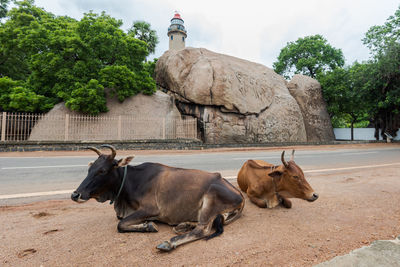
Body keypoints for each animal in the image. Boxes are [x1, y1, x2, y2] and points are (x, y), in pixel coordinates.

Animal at [71, 146, 244, 252]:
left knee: (202, 229)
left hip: (210, 198)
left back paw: (169, 242)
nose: (75, 195)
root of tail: (240, 195)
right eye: (90, 169)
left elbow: (120, 225)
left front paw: (148, 226)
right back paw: (184, 225)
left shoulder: (150, 209)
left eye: (102, 171)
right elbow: (121, 222)